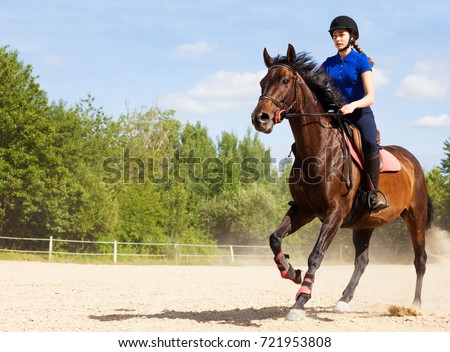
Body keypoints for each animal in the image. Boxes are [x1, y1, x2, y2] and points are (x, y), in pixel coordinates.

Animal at [251, 42, 430, 320]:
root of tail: (413, 162)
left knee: (420, 260)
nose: (260, 119)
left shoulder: (334, 213)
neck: (318, 149)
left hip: (415, 217)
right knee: (362, 261)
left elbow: (316, 255)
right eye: (262, 82)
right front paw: (291, 272)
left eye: (284, 80)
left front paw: (300, 300)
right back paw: (344, 300)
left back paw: (415, 305)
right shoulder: (304, 210)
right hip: (365, 224)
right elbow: (274, 238)